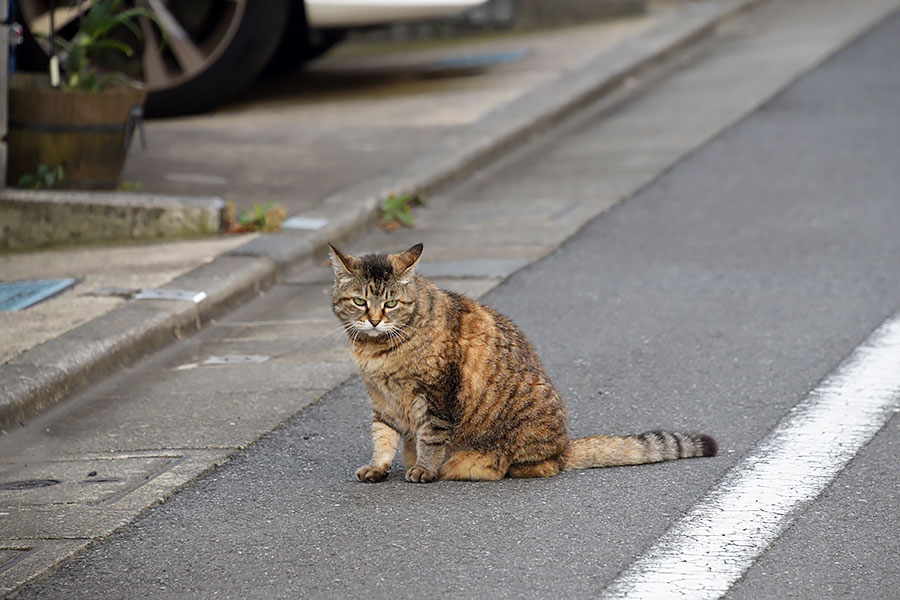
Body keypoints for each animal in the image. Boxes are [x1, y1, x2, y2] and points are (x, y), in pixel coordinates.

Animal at [326, 241, 712, 480]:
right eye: (360, 302)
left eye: (391, 304)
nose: (374, 320)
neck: (376, 351)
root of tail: (564, 444)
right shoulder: (382, 401)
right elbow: (383, 437)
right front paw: (377, 467)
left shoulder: (436, 396)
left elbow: (431, 439)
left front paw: (424, 468)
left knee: (543, 465)